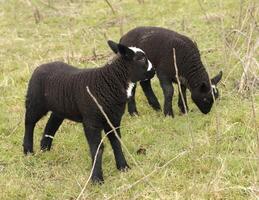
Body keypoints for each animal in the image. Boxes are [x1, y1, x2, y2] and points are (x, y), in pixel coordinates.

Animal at [22, 40, 154, 183]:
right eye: (141, 59)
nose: (154, 71)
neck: (110, 81)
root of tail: (41, 66)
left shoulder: (113, 119)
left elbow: (116, 142)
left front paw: (123, 167)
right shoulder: (92, 121)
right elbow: (97, 148)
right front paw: (97, 178)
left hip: (60, 108)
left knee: (51, 125)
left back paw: (45, 149)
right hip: (35, 101)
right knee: (29, 123)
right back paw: (28, 151)